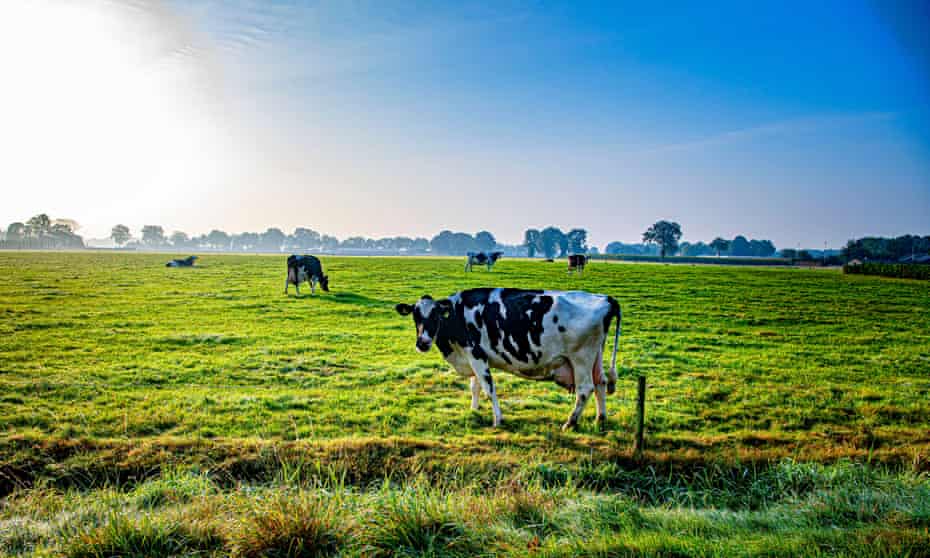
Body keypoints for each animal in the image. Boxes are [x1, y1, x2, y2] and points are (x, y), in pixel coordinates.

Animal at [396, 288, 620, 434]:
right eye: (415, 316)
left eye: (435, 315)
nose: (422, 342)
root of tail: (605, 298)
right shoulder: (473, 356)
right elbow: (475, 387)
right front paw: (474, 411)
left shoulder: (475, 353)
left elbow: (488, 388)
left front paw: (498, 419)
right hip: (596, 355)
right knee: (600, 383)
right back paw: (600, 419)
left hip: (581, 357)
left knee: (585, 389)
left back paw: (570, 423)